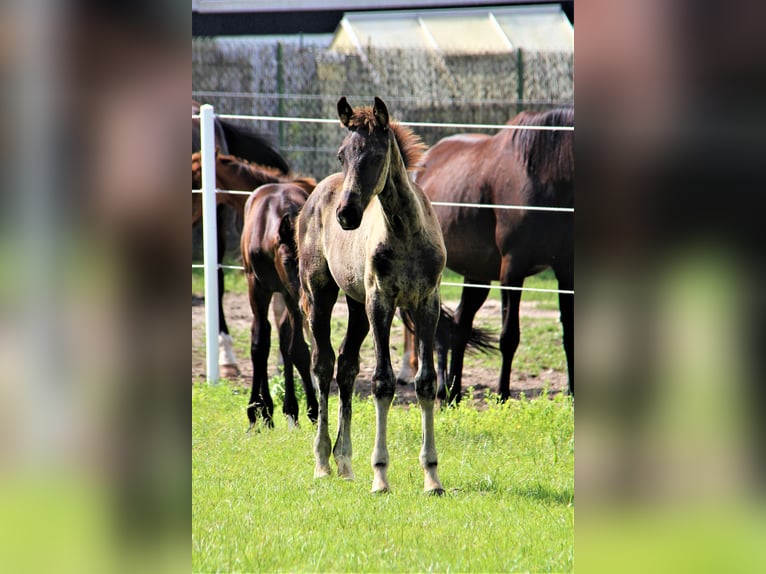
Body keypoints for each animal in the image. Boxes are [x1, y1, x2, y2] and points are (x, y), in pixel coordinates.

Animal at [240, 182, 318, 430]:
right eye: (287, 261)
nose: (308, 300)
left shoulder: (291, 296)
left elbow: (298, 350)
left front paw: (312, 411)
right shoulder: (257, 288)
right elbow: (259, 345)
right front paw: (255, 411)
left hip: (286, 296)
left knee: (284, 341)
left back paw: (290, 410)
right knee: (263, 334)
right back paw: (266, 412)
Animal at [296, 98, 448, 496]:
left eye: (377, 155)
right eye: (341, 155)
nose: (347, 215)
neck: (406, 231)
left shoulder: (427, 303)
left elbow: (426, 382)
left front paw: (432, 477)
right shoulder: (381, 301)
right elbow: (382, 382)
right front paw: (380, 476)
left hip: (356, 305)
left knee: (347, 365)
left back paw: (345, 462)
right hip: (319, 293)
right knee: (322, 363)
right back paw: (322, 463)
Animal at [400, 108, 572, 404]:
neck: (545, 175)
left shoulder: (565, 269)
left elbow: (570, 333)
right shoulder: (512, 270)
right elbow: (509, 336)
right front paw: (503, 394)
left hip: (477, 274)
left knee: (459, 324)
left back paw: (453, 392)